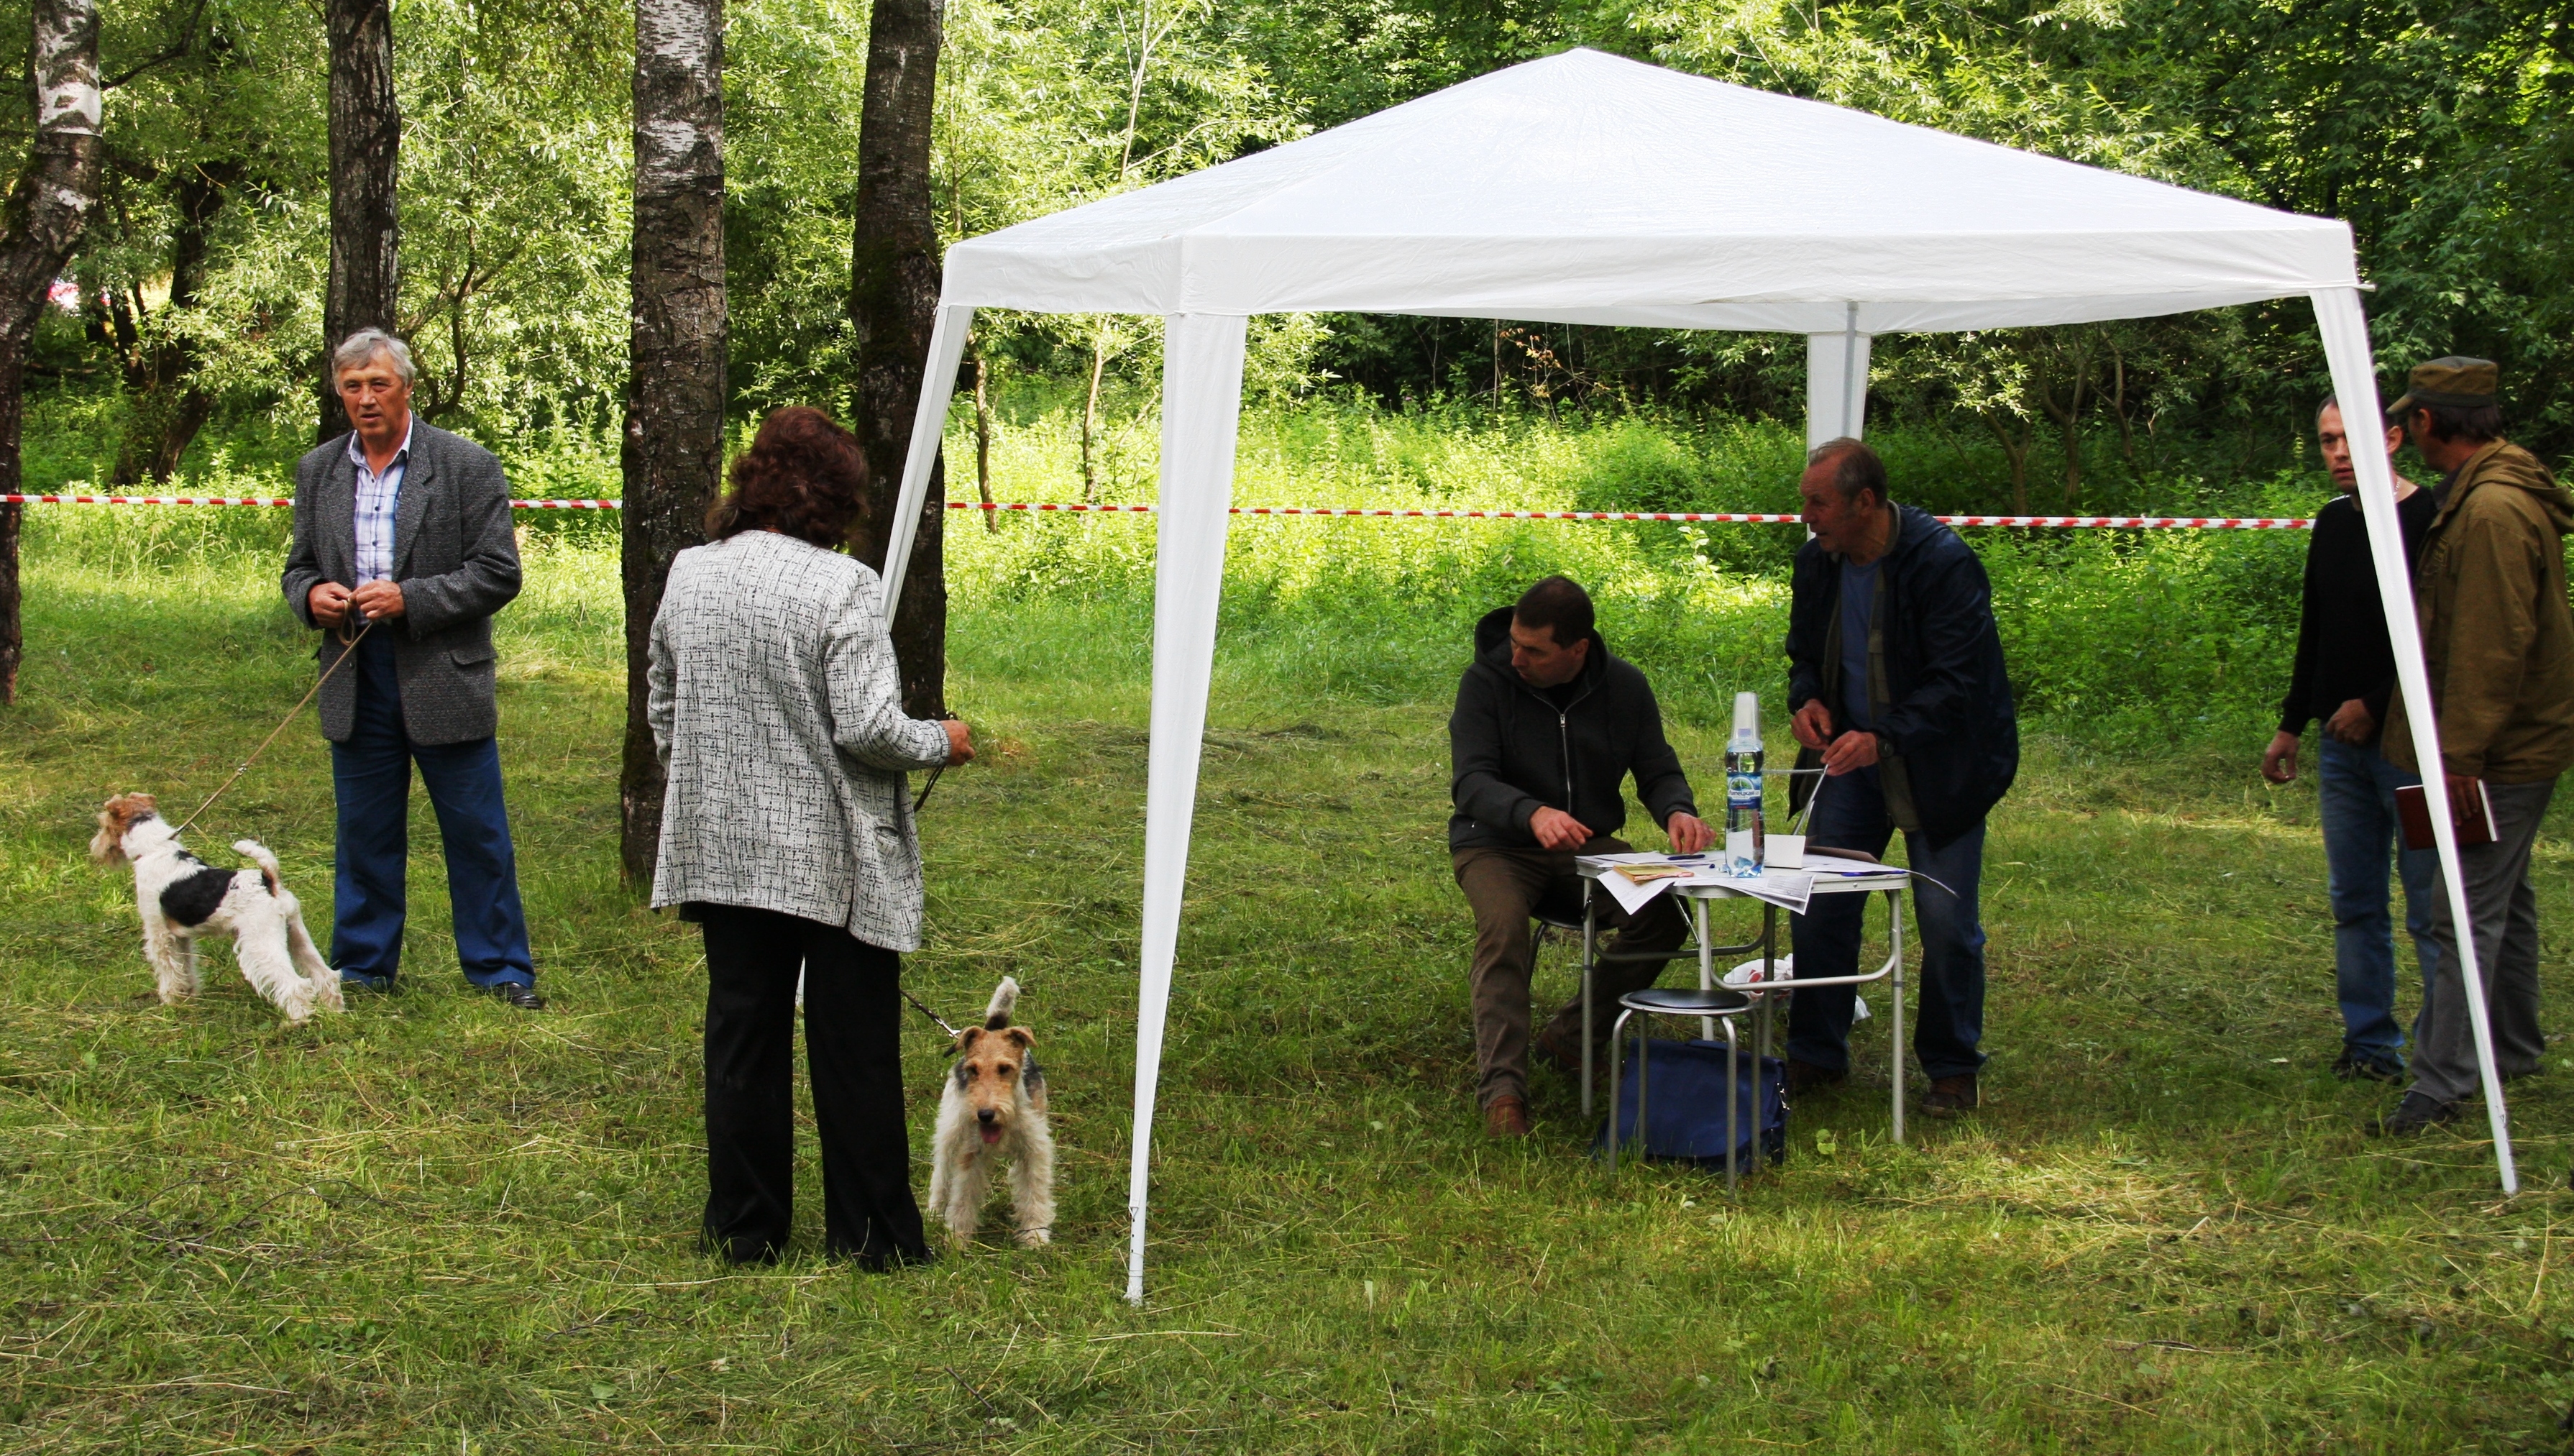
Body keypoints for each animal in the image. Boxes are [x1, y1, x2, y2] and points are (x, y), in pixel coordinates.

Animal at [89, 793, 343, 1024]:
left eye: (104, 824)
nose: (95, 848)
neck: (155, 848)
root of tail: (269, 880)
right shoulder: (182, 937)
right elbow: (186, 966)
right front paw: (189, 995)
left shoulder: (159, 934)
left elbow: (168, 969)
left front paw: (170, 1001)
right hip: (296, 933)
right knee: (326, 975)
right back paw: (334, 1011)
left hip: (261, 941)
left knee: (295, 984)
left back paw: (297, 1021)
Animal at [927, 977, 1055, 1249]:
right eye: (973, 1070)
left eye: (1005, 1068)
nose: (985, 1114)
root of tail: (992, 1028)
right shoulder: (970, 1153)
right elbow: (963, 1197)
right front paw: (958, 1239)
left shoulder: (1035, 1149)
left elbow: (1035, 1192)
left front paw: (1035, 1236)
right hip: (950, 1130)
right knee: (941, 1175)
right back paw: (933, 1213)